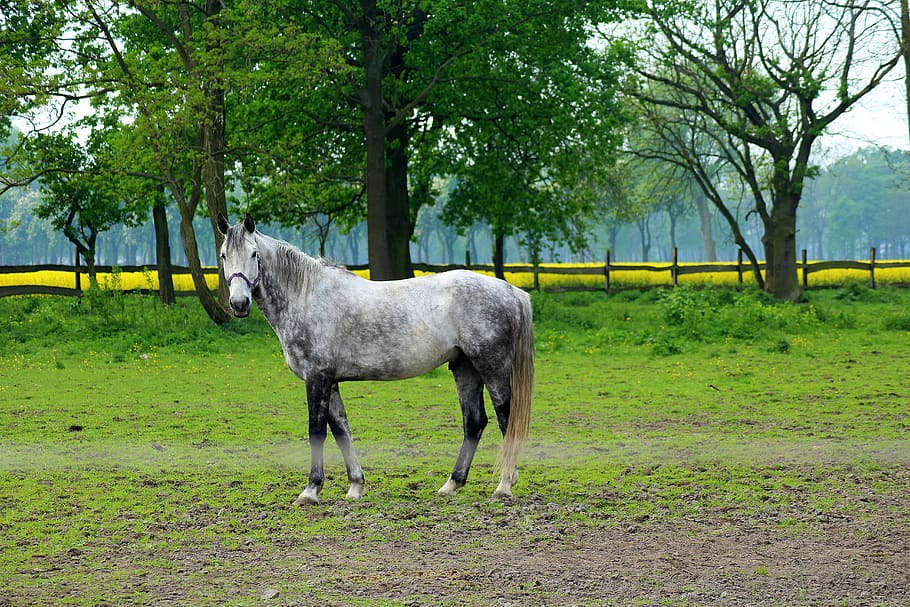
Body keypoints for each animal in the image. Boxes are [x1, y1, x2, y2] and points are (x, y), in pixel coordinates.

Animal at [218, 216, 536, 506]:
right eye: (223, 255)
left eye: (254, 254)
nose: (239, 303)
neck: (306, 296)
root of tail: (511, 291)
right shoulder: (330, 381)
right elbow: (341, 431)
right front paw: (355, 487)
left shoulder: (316, 378)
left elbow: (317, 431)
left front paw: (310, 491)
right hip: (465, 368)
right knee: (474, 422)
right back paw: (451, 484)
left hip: (492, 369)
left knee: (506, 419)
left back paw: (504, 485)